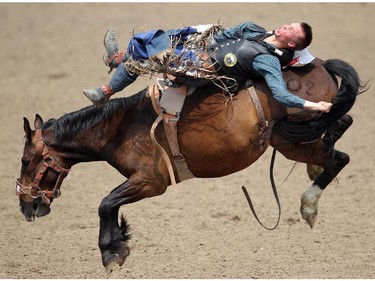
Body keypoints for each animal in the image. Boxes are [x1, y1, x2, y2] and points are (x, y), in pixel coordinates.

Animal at [16, 57, 366, 274]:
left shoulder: (151, 182)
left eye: (25, 160)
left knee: (340, 157)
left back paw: (309, 205)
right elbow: (110, 205)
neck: (121, 126)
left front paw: (111, 252)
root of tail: (321, 65)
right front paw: (120, 243)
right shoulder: (142, 182)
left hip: (290, 141)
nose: (25, 205)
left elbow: (105, 203)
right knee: (341, 127)